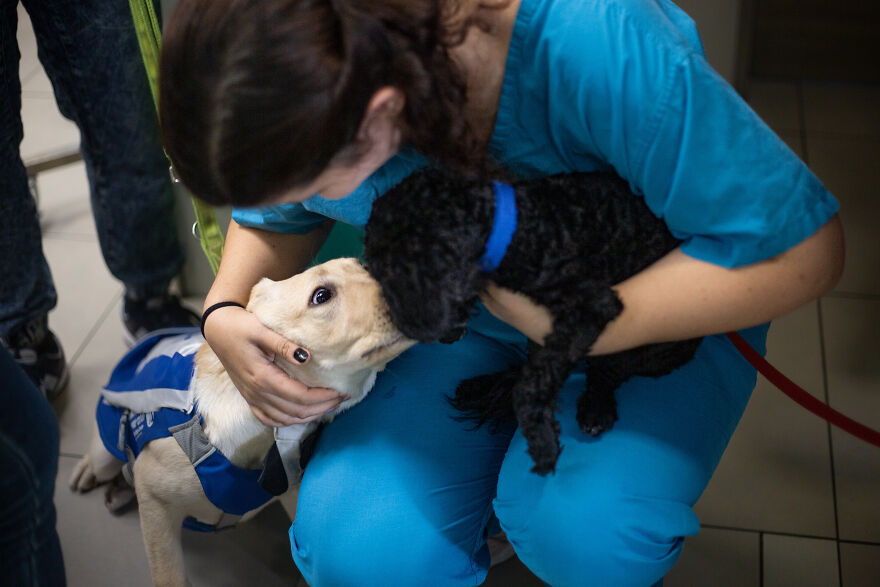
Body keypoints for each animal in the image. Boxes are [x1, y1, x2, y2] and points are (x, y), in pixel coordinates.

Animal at [69, 260, 412, 587]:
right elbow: (169, 576)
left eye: (363, 266)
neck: (265, 437)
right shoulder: (155, 502)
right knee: (103, 460)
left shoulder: (291, 495)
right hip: (106, 450)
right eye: (321, 296)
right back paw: (89, 473)